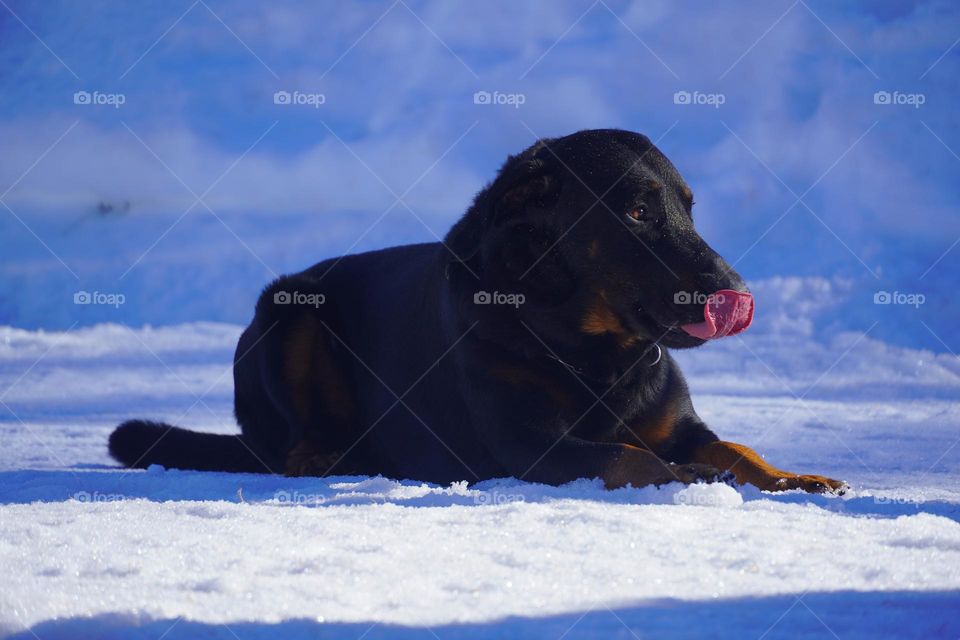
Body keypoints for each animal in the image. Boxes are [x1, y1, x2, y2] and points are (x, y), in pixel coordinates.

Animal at [110, 127, 848, 492]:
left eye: (688, 208)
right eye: (637, 211)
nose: (734, 289)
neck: (592, 352)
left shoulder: (680, 425)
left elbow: (736, 447)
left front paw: (794, 477)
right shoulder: (530, 445)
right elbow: (629, 458)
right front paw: (685, 477)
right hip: (287, 311)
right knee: (285, 446)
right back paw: (321, 457)